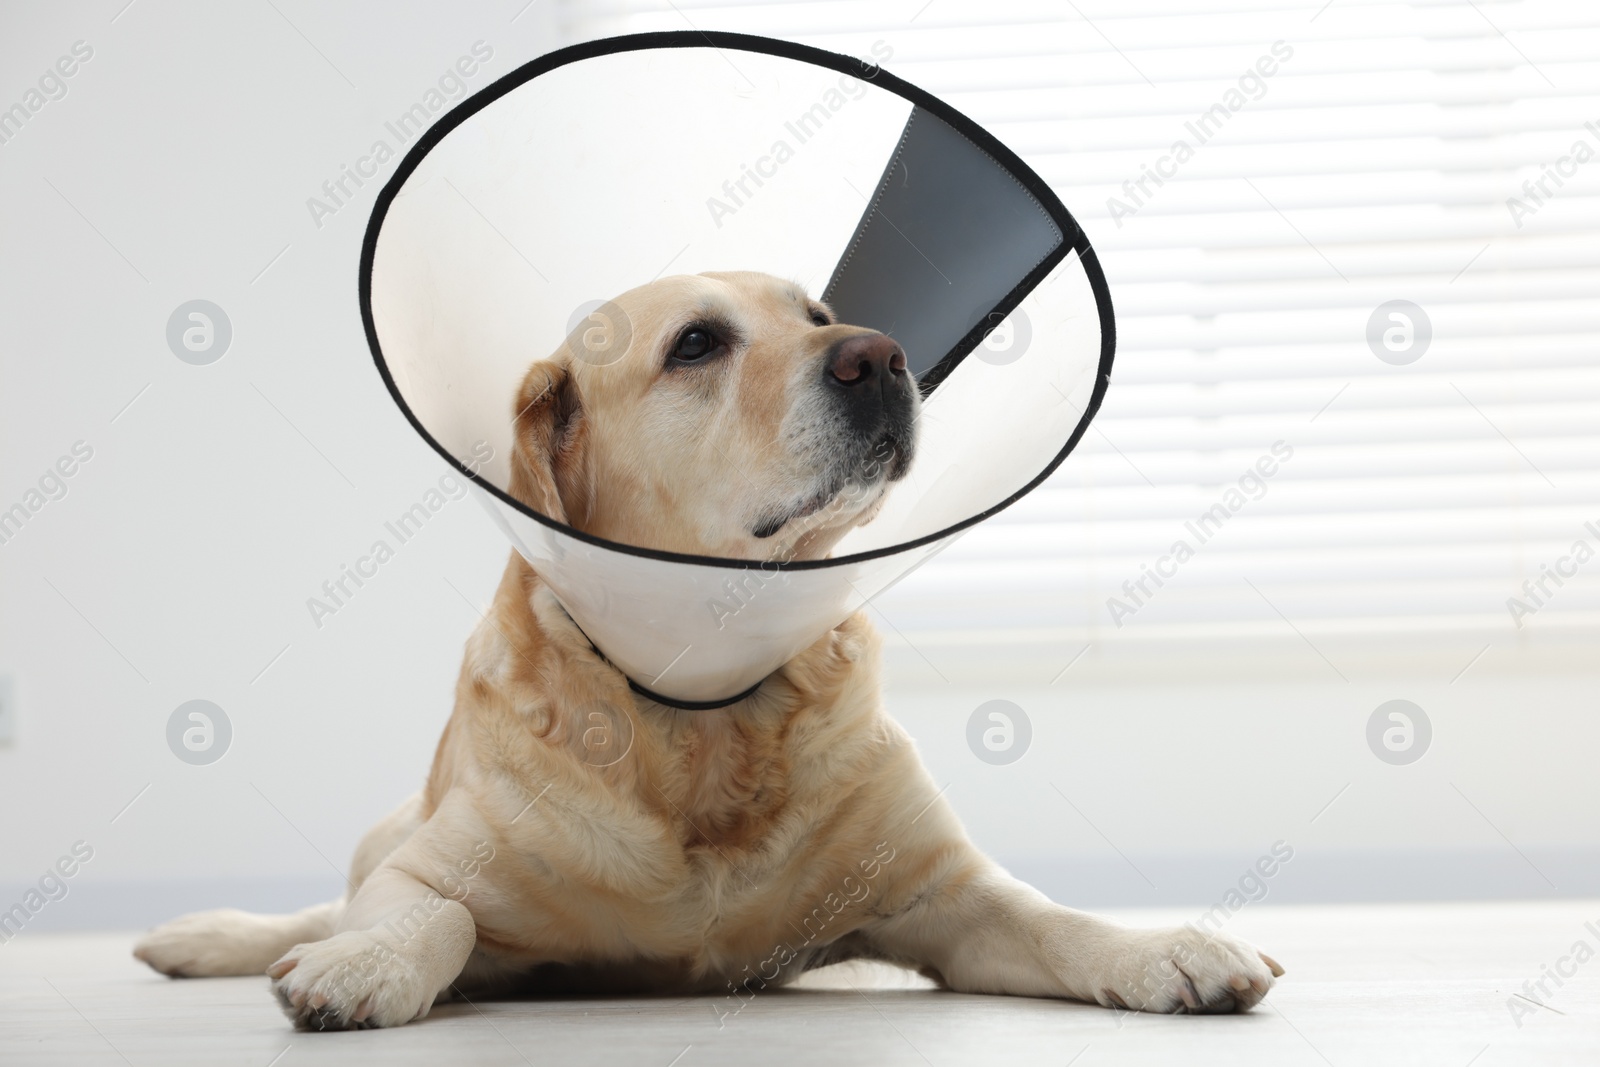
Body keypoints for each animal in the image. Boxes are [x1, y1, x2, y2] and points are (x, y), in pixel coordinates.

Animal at [137, 271, 1286, 1030]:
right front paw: (366, 965)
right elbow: (435, 918)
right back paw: (205, 936)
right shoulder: (428, 867)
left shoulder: (945, 896)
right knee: (325, 902)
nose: (884, 355)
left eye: (817, 316)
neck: (706, 696)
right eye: (695, 344)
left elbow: (1052, 915)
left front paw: (1165, 947)